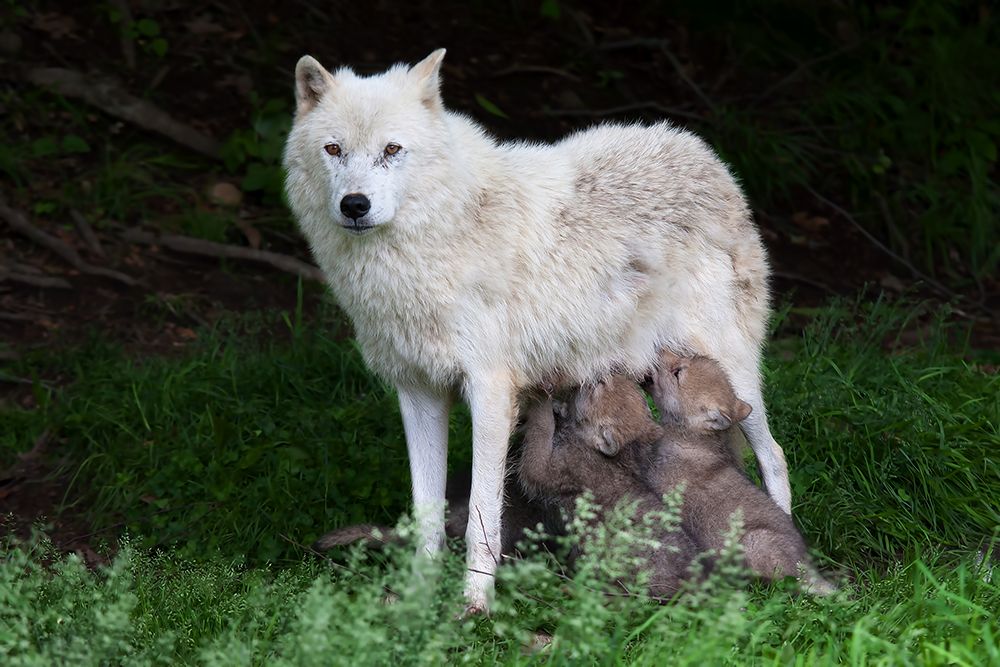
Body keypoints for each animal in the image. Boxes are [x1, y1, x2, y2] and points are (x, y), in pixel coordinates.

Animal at [282, 47, 788, 612]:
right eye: (334, 149)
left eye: (392, 149)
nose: (355, 205)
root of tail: (703, 154)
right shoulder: (418, 392)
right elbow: (426, 514)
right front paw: (418, 601)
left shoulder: (489, 392)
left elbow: (482, 516)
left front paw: (474, 607)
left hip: (734, 376)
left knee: (774, 456)